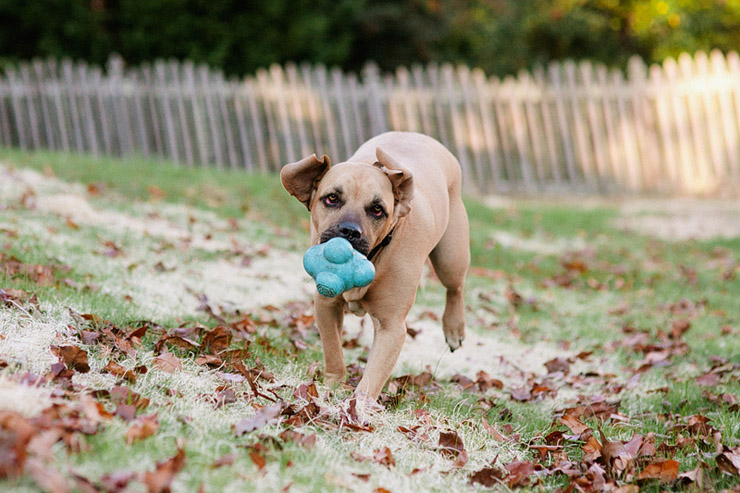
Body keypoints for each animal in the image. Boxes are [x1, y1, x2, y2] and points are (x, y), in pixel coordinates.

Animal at [280, 130, 472, 404]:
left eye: (377, 210)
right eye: (332, 198)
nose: (349, 231)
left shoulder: (392, 326)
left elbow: (375, 373)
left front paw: (359, 405)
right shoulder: (326, 305)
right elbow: (333, 349)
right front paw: (333, 383)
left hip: (451, 257)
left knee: (455, 287)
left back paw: (454, 328)